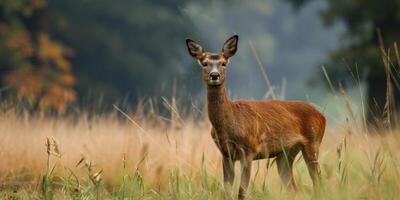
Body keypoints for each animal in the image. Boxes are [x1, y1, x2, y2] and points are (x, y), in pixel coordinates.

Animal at [186, 35, 326, 199]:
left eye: (223, 63)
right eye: (204, 63)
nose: (214, 75)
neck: (229, 123)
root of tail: (322, 116)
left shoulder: (249, 149)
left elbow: (241, 191)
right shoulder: (226, 154)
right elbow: (226, 191)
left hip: (313, 143)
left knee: (318, 182)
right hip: (285, 154)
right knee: (293, 188)